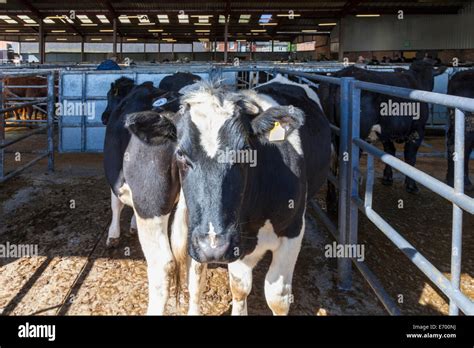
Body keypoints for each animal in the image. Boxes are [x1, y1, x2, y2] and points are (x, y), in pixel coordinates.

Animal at [131, 75, 332, 316]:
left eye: (244, 151)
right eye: (180, 154)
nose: (213, 246)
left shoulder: (292, 231)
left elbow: (277, 297)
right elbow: (239, 286)